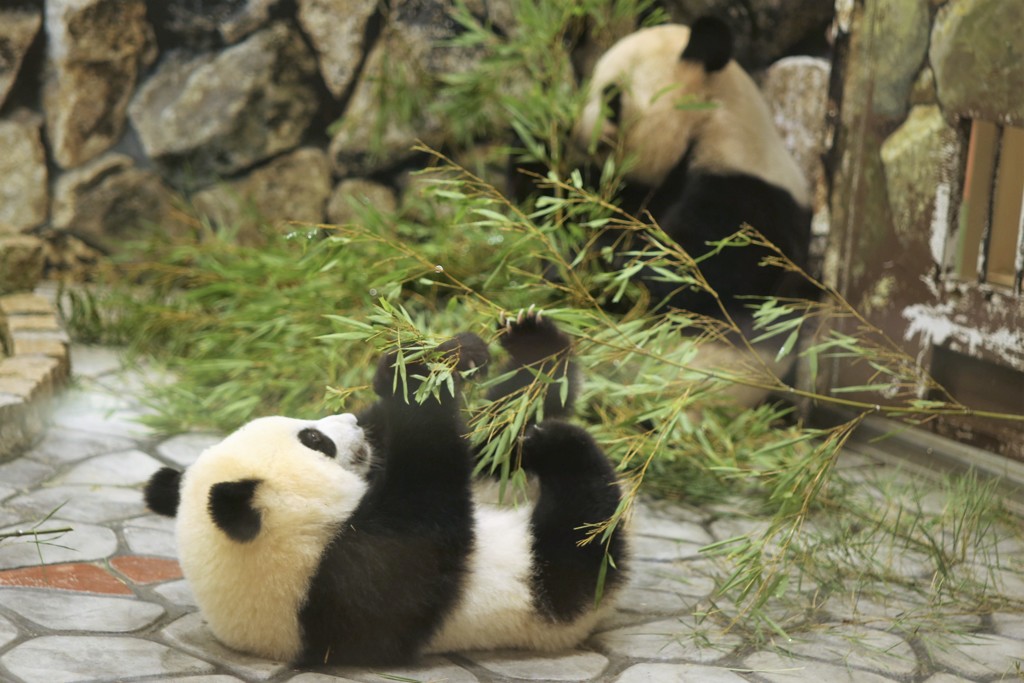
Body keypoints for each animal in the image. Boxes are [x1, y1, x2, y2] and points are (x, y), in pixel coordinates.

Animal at [142, 313, 622, 667]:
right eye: (313, 440)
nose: (352, 421)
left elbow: (478, 433)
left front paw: (492, 350)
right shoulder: (346, 582)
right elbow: (429, 503)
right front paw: (410, 378)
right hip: (548, 585)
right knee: (585, 534)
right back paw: (560, 449)